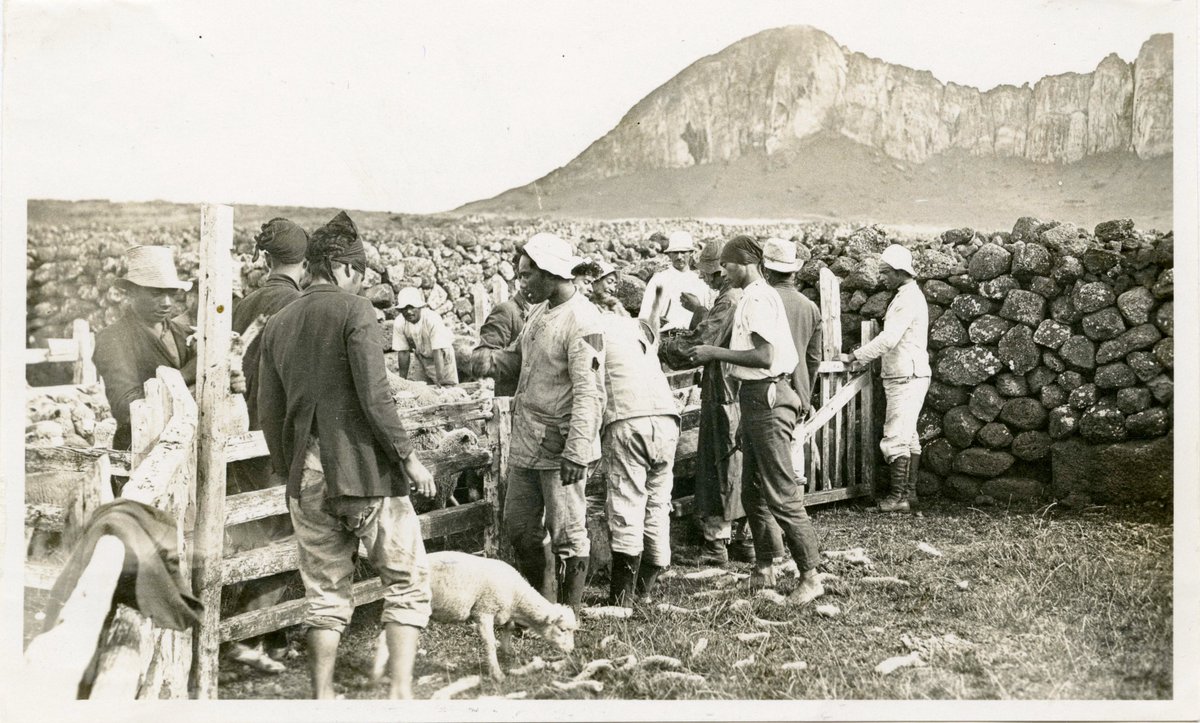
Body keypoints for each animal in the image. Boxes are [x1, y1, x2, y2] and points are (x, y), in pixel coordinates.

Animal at [374, 550, 580, 677]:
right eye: (562, 630)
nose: (571, 650)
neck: (517, 598)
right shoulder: (483, 611)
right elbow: (489, 643)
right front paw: (497, 673)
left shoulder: (504, 611)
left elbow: (509, 627)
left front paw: (509, 650)